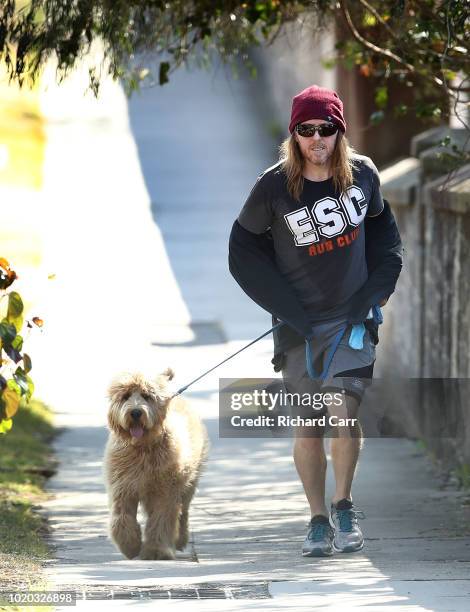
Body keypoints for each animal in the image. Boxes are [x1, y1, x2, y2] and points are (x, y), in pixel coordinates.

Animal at [104, 368, 207, 560]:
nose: (136, 412)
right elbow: (121, 518)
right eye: (125, 396)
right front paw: (129, 545)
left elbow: (161, 519)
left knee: (183, 513)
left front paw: (156, 550)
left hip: (189, 483)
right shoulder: (122, 487)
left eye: (146, 396)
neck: (143, 447)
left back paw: (180, 539)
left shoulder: (165, 491)